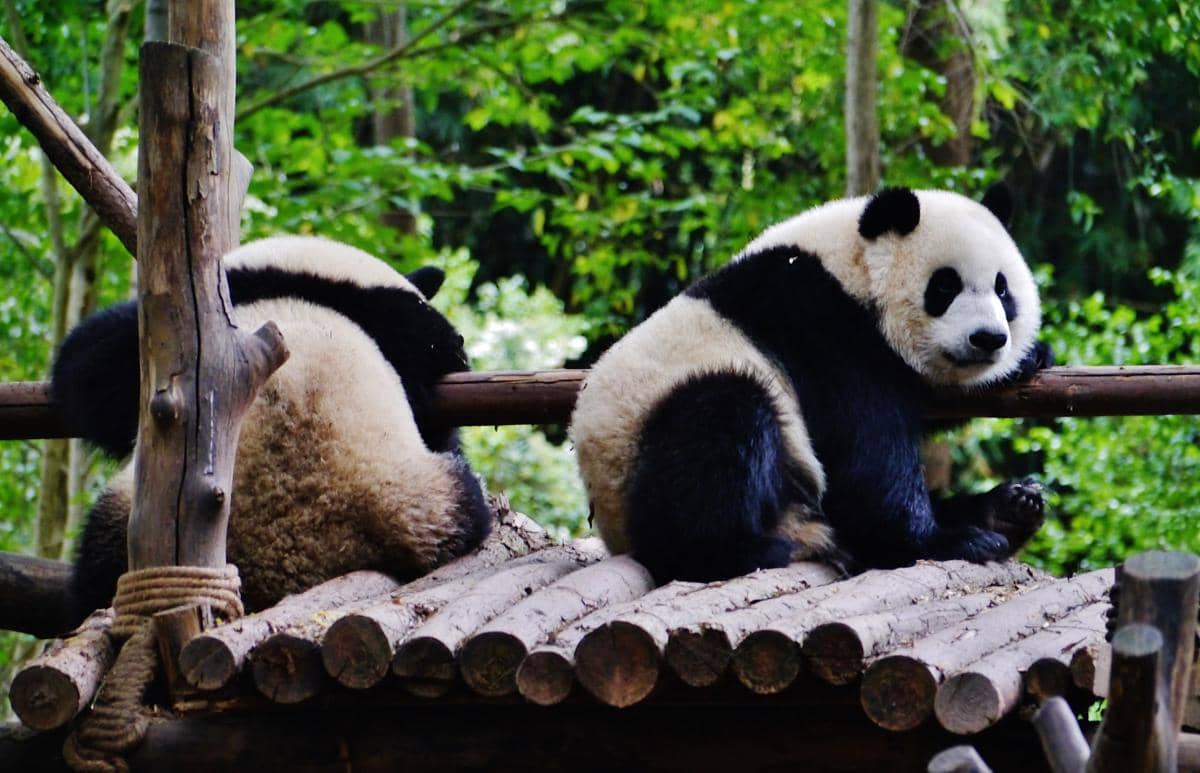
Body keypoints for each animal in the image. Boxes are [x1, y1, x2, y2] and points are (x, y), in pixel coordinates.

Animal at [569, 186, 1054, 583]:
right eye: (944, 286)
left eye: (1003, 289)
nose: (988, 339)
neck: (849, 266)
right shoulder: (821, 326)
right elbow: (867, 451)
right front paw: (940, 542)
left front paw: (1031, 358)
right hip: (644, 439)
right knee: (721, 424)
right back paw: (738, 550)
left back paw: (1008, 509)